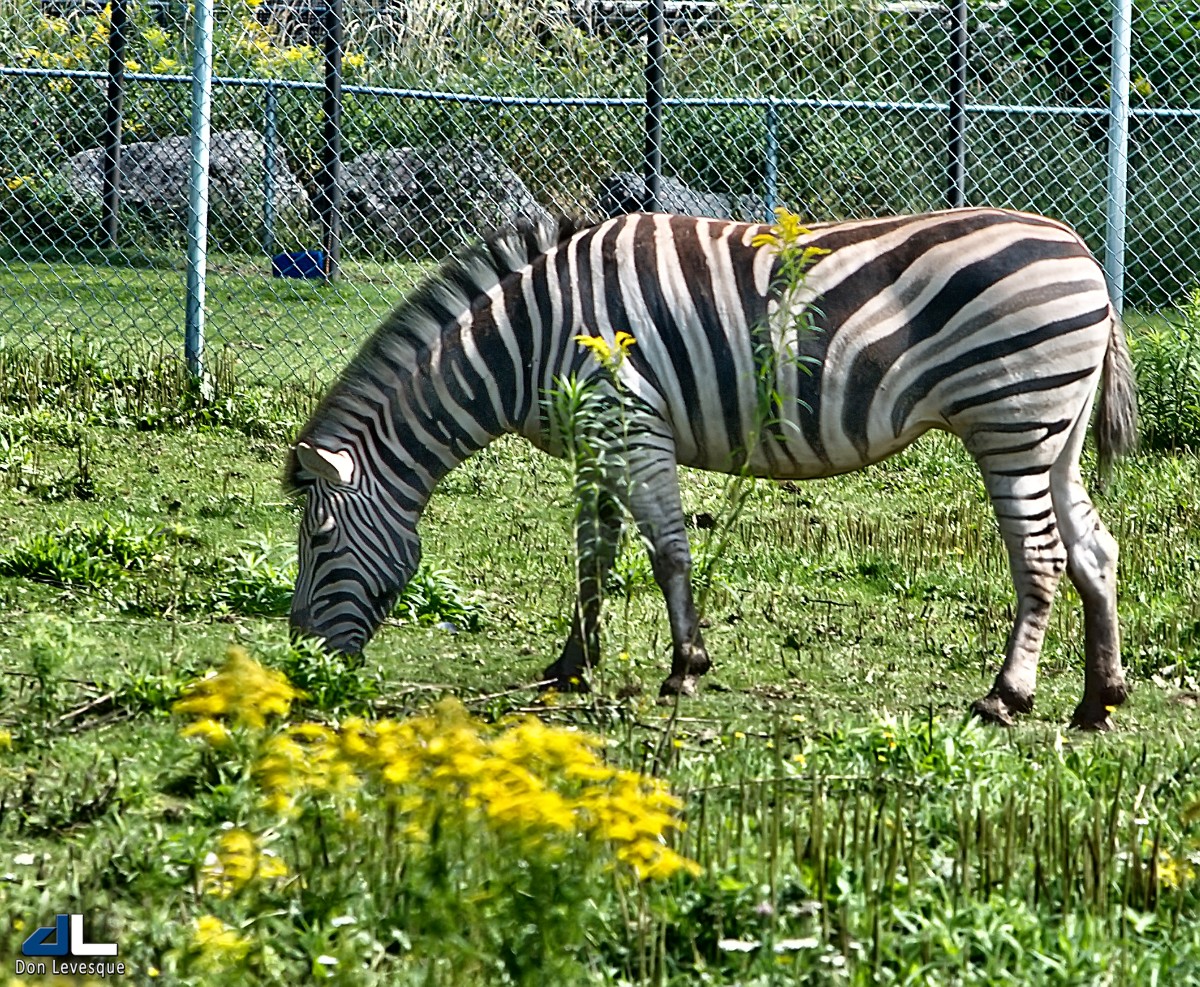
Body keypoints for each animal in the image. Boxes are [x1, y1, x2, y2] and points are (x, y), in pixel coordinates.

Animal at [285, 208, 1137, 734]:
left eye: (318, 542)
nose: (302, 665)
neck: (524, 343)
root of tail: (1084, 253)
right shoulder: (595, 438)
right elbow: (592, 557)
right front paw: (572, 665)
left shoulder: (630, 421)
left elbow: (667, 550)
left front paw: (685, 667)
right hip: (1055, 430)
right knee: (1095, 550)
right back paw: (1098, 699)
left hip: (1011, 418)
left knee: (1041, 558)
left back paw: (1007, 696)